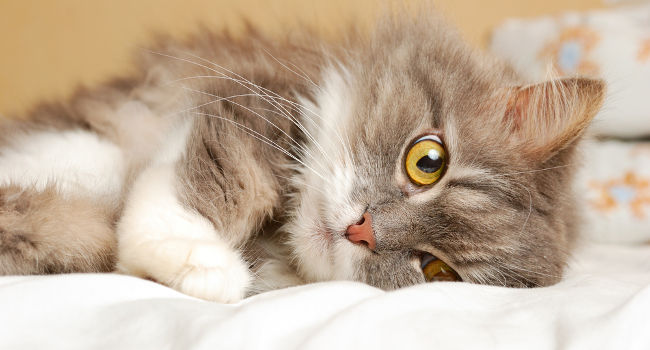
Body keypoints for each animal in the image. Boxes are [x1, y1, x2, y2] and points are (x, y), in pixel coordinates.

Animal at [0, 8, 604, 304]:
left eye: (436, 270)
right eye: (427, 161)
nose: (362, 231)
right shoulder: (240, 99)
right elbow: (217, 182)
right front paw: (203, 262)